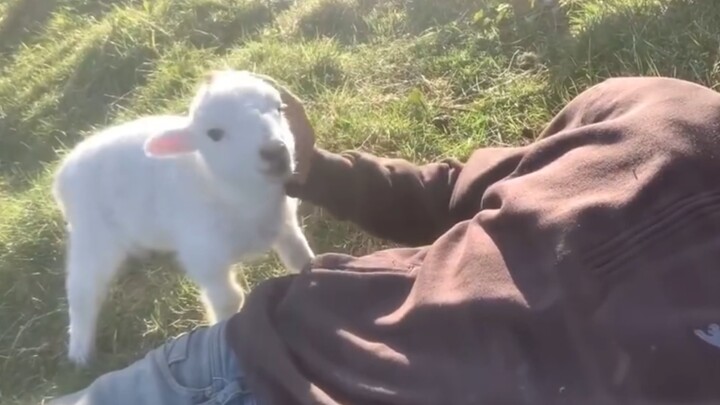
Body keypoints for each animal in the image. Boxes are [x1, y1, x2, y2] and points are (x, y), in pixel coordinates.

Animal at [51, 69, 315, 366]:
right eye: (214, 134)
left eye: (279, 108)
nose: (275, 152)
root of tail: (62, 173)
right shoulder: (204, 257)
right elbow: (228, 299)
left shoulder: (286, 226)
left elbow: (300, 258)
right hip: (92, 235)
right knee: (82, 290)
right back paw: (80, 351)